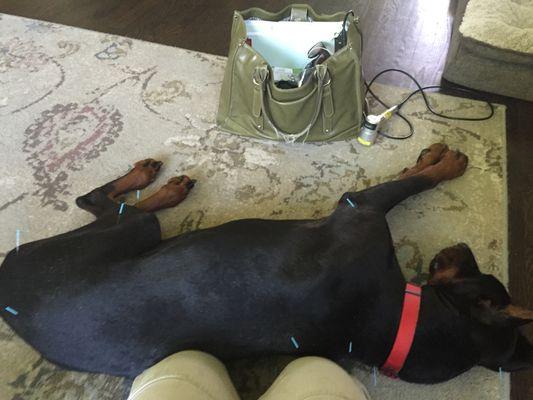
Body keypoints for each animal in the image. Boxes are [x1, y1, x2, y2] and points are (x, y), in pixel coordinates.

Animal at [0, 143, 528, 382]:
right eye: (487, 275)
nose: (461, 247)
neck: (396, 321)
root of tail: (9, 299)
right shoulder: (361, 207)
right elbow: (416, 181)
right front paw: (444, 163)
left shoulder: (358, 210)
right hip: (129, 233)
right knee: (94, 199)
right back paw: (154, 179)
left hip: (130, 234)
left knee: (102, 203)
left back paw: (161, 186)